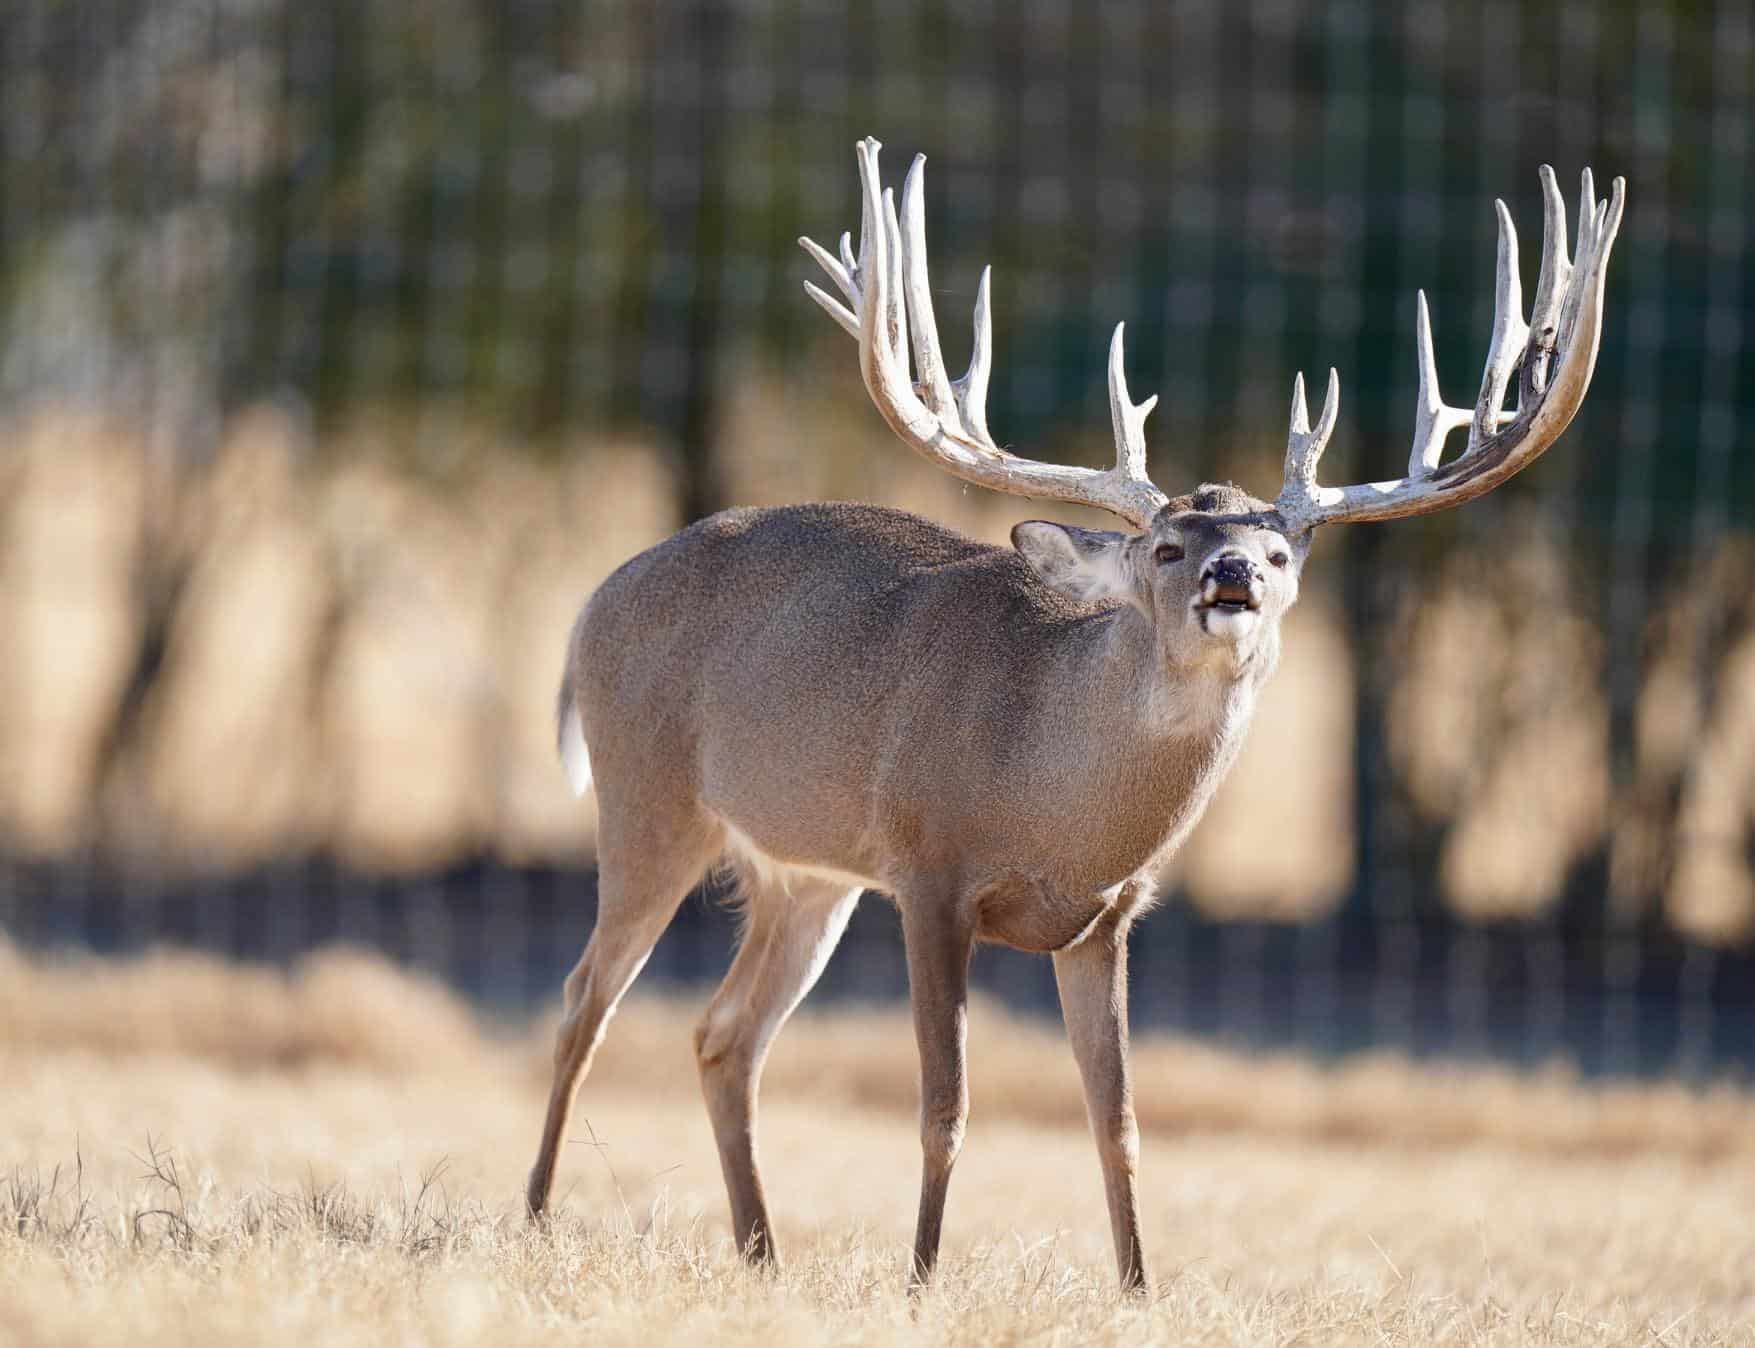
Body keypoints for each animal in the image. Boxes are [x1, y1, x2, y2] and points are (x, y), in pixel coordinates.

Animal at [525, 137, 1624, 1292]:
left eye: (1282, 554)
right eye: (1166, 546)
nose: (1232, 573)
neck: (1052, 798)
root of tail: (594, 601)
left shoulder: (1108, 918)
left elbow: (1119, 1121)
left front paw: (1139, 1291)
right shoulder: (930, 870)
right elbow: (946, 1106)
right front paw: (922, 1278)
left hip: (806, 874)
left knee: (723, 1034)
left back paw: (761, 1253)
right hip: (648, 795)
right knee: (583, 1000)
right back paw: (541, 1215)